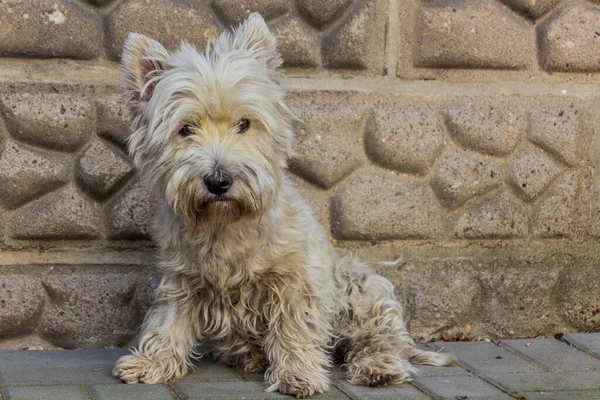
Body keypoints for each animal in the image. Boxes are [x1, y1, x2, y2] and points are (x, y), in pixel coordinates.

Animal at [112, 12, 454, 396]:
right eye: (185, 129)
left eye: (244, 123)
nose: (218, 181)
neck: (227, 224)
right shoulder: (182, 276)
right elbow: (168, 321)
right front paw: (151, 362)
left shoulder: (296, 280)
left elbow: (294, 327)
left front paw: (298, 373)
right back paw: (253, 356)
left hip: (360, 286)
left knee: (378, 338)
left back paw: (378, 367)